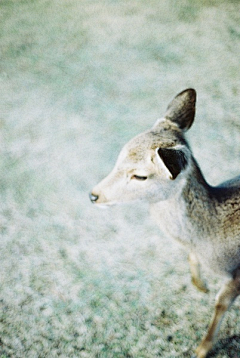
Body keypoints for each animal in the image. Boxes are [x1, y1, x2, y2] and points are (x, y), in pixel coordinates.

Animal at [88, 87, 240, 358]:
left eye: (140, 176)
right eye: (118, 157)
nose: (94, 195)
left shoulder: (237, 274)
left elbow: (221, 303)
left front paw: (201, 349)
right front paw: (201, 287)